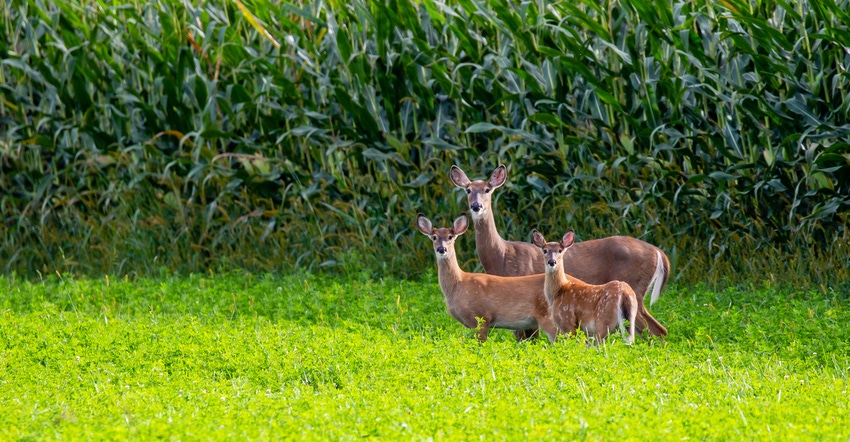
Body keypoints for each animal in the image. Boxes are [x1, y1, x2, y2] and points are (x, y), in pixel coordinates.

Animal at [414, 212, 560, 344]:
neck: (458, 284)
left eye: (450, 237)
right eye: (434, 237)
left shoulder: (482, 316)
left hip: (548, 316)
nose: (441, 249)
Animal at [450, 166, 668, 338]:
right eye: (468, 190)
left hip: (635, 288)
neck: (503, 256)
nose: (476, 206)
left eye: (487, 189)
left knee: (655, 330)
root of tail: (659, 252)